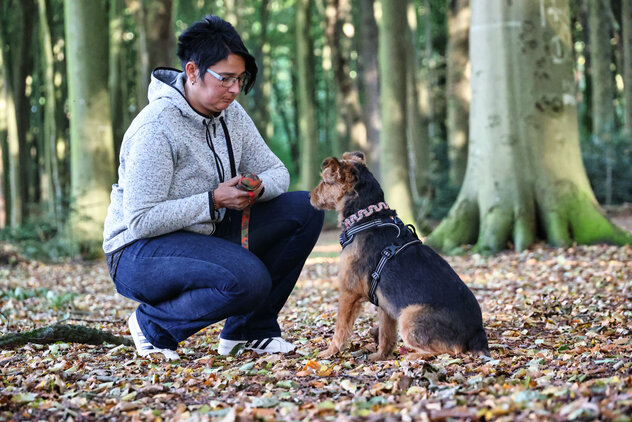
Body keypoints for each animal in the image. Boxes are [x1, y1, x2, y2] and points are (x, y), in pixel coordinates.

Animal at [308, 150, 492, 362]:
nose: (309, 196)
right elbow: (386, 335)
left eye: (325, 181)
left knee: (450, 351)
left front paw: (329, 352)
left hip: (409, 316)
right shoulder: (386, 304)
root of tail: (477, 333)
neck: (366, 217)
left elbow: (340, 329)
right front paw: (380, 356)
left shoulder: (349, 292)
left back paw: (413, 356)